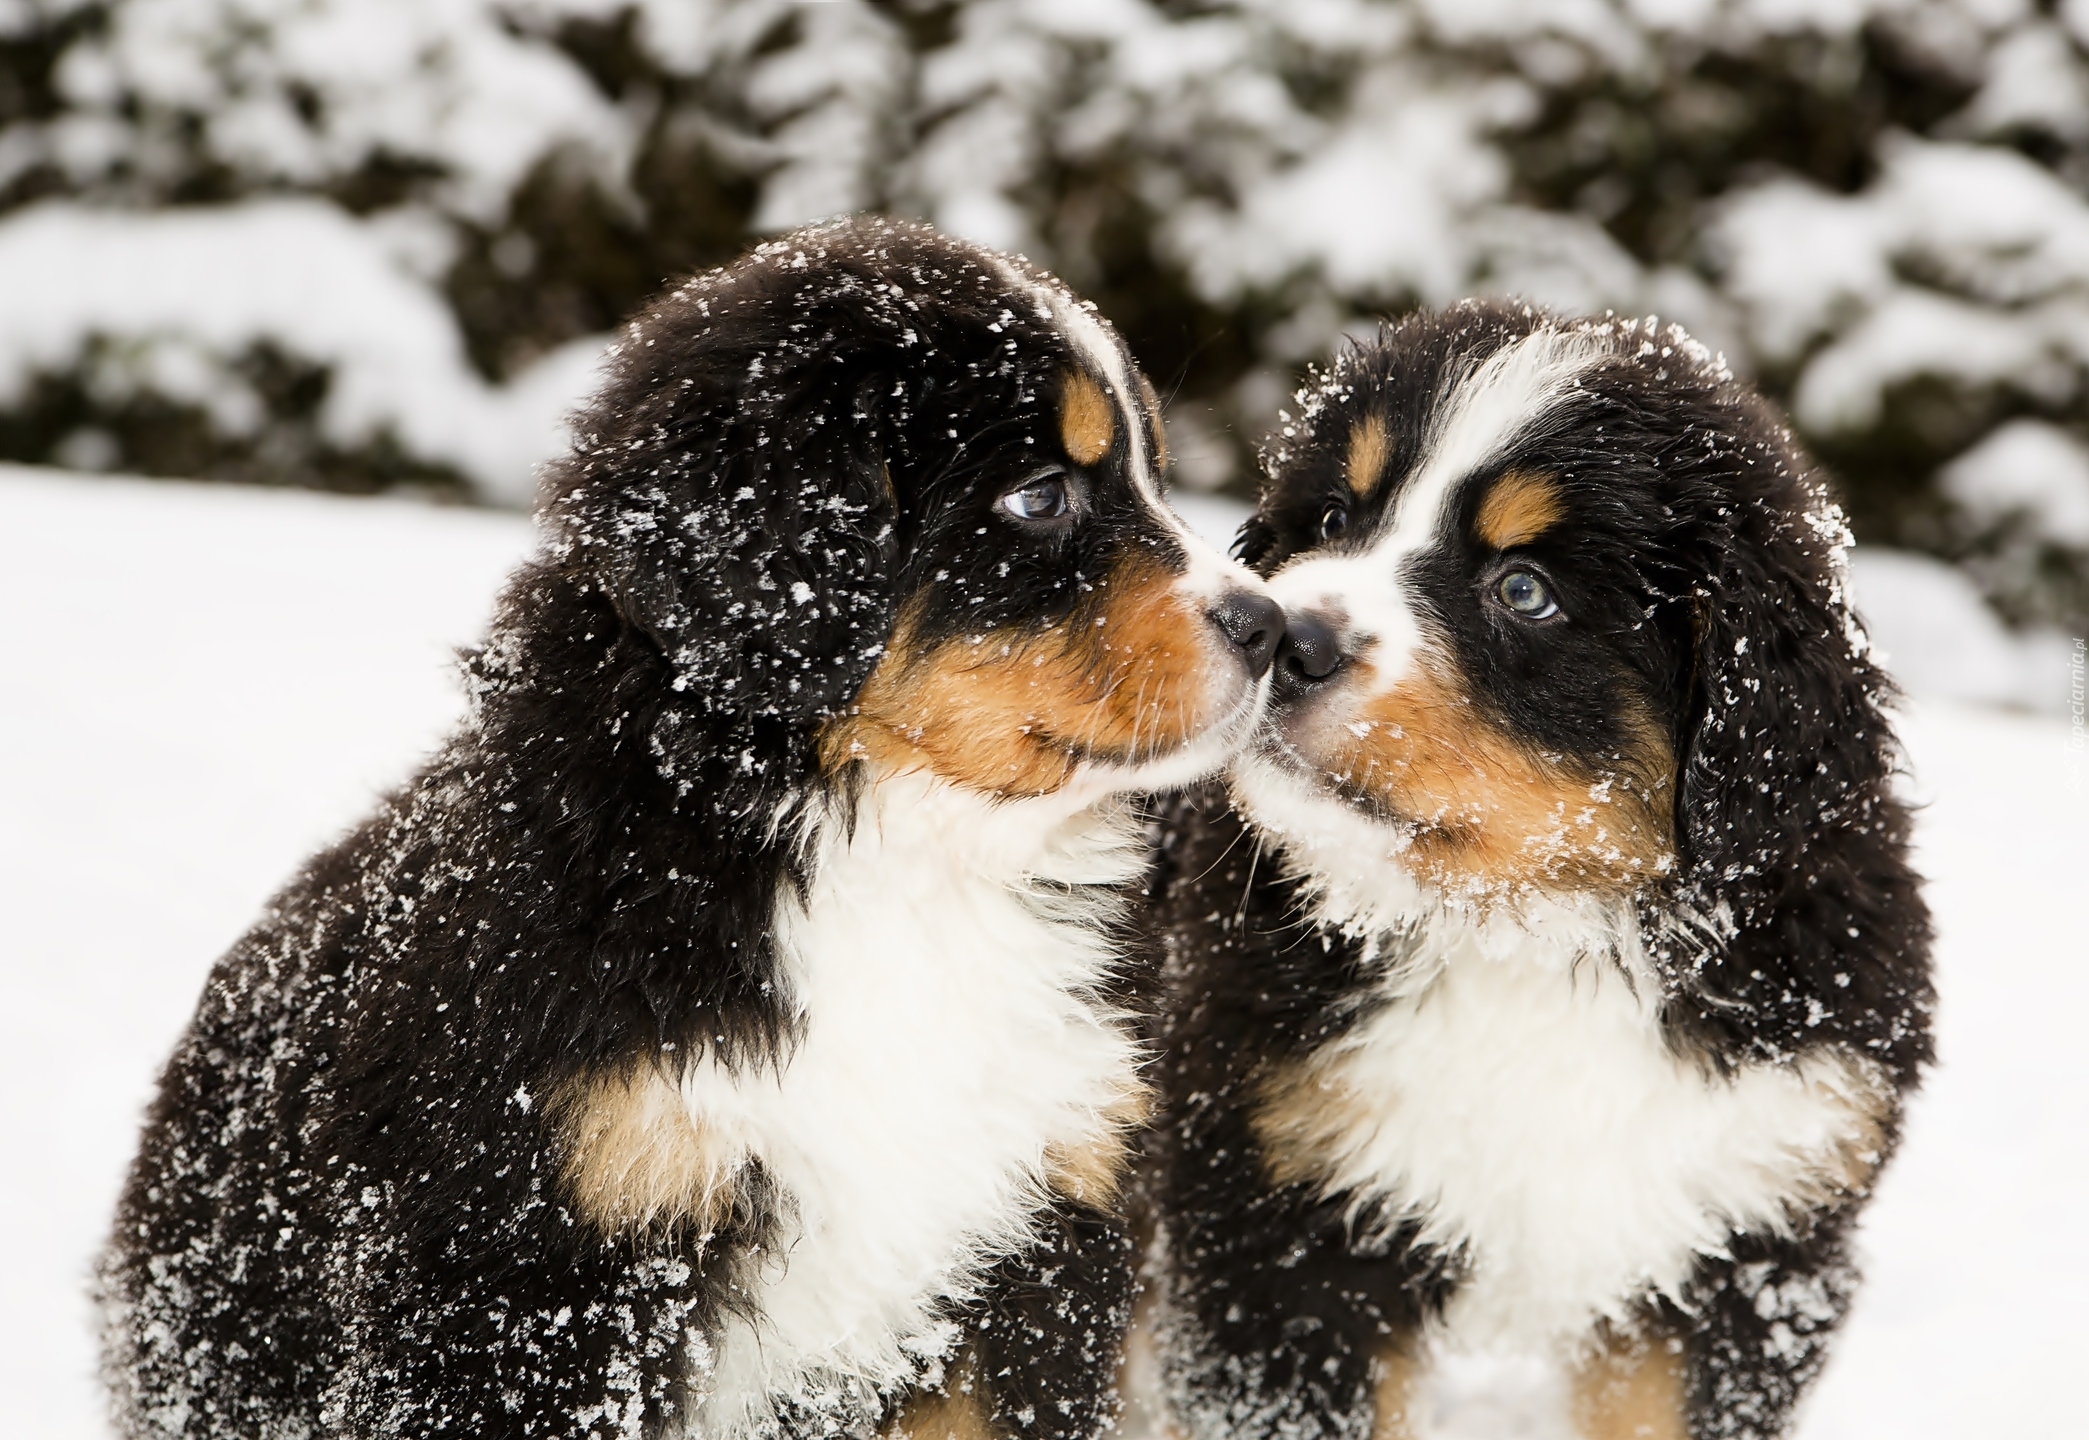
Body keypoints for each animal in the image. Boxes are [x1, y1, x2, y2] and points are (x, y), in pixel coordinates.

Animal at [101, 219, 1286, 1437]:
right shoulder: (547, 1270)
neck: (902, 861)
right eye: (1041, 497)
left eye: (1151, 472)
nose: (1271, 627)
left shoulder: (1041, 1236)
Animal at [1153, 300, 1930, 1437]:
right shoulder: (1282, 1227)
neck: (1529, 934)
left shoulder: (1747, 1242)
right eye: (1334, 517)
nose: (1286, 634)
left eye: (1523, 590)